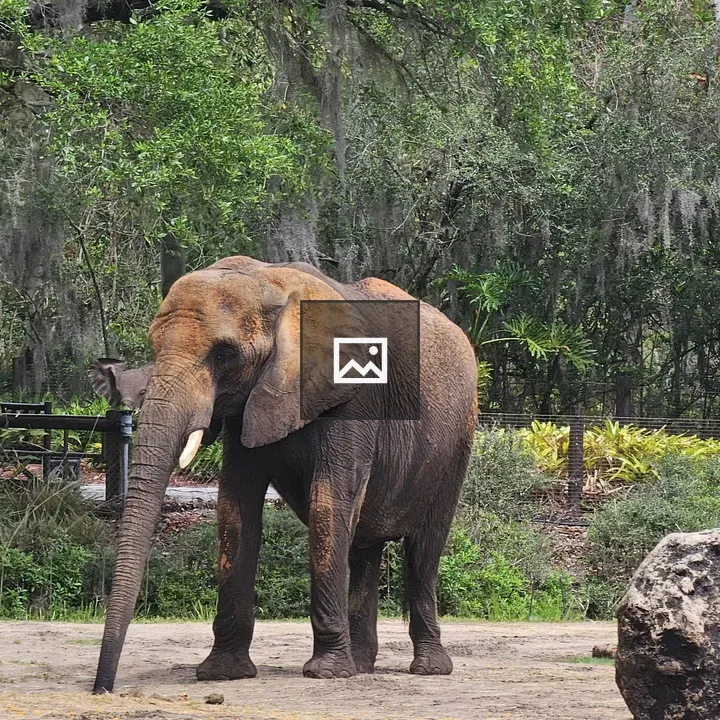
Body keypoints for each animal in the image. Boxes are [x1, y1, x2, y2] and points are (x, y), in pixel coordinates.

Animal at [92, 256, 477, 693]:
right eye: (155, 347)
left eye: (224, 355)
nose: (102, 688)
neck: (273, 282)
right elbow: (236, 509)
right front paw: (222, 674)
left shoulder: (354, 393)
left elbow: (329, 502)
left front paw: (326, 674)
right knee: (364, 547)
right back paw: (362, 664)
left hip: (457, 441)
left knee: (423, 550)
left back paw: (428, 668)